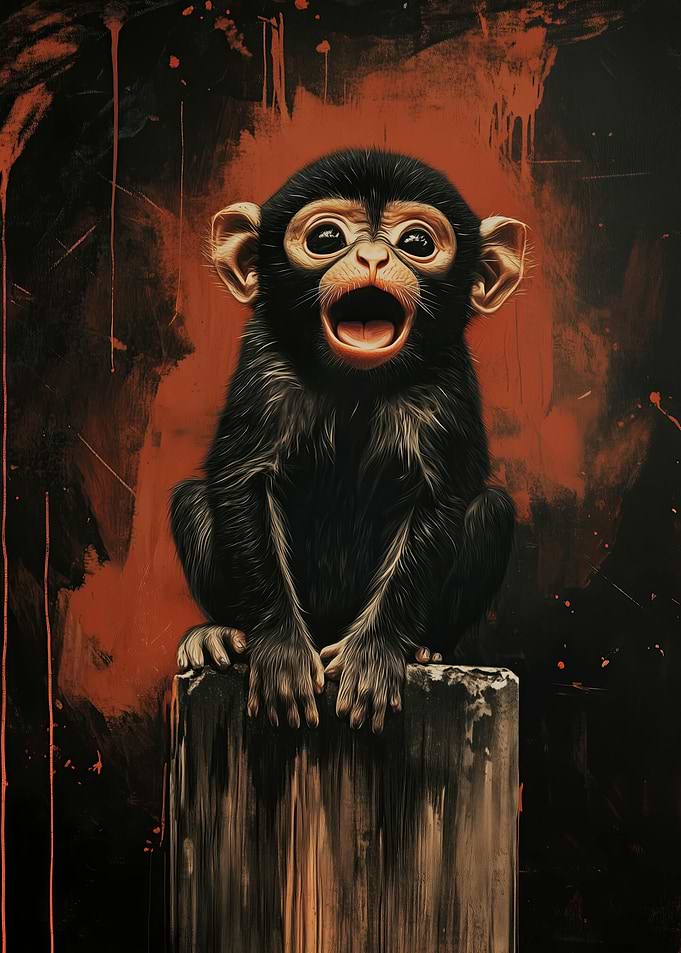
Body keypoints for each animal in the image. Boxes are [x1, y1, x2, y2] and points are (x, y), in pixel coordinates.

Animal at [171, 149, 526, 734]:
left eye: (417, 243)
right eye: (326, 238)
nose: (374, 257)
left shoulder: (446, 386)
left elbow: (441, 499)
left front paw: (376, 654)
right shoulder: (264, 370)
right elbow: (243, 480)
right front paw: (281, 650)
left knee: (490, 511)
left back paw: (422, 648)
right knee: (192, 499)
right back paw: (218, 632)